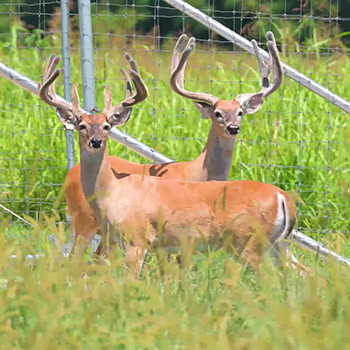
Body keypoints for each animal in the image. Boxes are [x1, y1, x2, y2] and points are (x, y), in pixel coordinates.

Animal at [37, 43, 300, 276]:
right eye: (81, 125)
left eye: (107, 126)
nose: (95, 141)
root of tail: (283, 197)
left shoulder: (139, 240)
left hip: (251, 243)